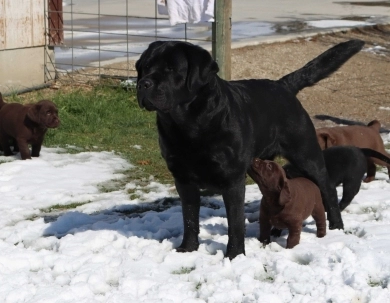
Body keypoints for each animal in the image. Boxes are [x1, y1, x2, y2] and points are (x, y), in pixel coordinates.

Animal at [136, 39, 364, 260]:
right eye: (145, 67)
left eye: (171, 69)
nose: (143, 83)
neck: (188, 126)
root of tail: (282, 85)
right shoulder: (183, 179)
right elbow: (190, 218)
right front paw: (188, 249)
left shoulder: (233, 179)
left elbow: (235, 222)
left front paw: (235, 255)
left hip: (306, 154)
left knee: (328, 188)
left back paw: (336, 226)